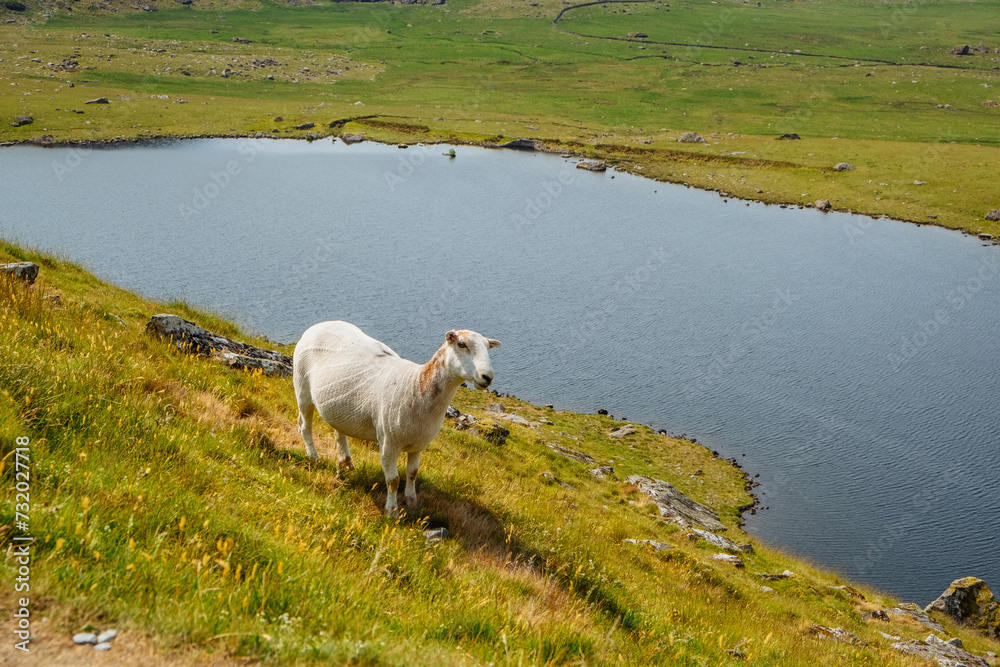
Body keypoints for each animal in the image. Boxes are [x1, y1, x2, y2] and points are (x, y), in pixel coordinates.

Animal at [292, 321, 501, 516]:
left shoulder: (419, 444)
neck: (417, 386)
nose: (487, 377)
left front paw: (412, 501)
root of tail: (320, 325)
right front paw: (392, 511)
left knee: (338, 431)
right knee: (304, 425)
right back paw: (314, 457)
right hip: (302, 387)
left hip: (338, 405)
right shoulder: (388, 442)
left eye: (487, 347)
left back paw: (346, 464)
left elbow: (412, 473)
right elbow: (393, 480)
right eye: (461, 344)